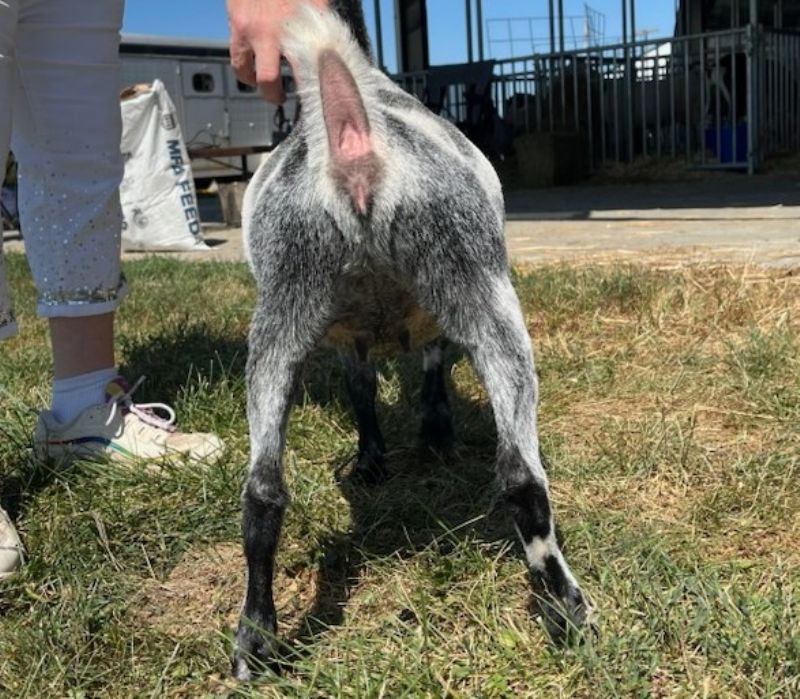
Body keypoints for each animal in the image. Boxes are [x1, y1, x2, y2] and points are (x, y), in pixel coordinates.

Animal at [233, 1, 590, 679]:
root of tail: (352, 145)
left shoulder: (347, 336)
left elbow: (363, 391)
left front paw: (376, 458)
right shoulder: (423, 328)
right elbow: (426, 373)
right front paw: (435, 435)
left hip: (280, 312)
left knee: (263, 493)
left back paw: (254, 639)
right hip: (478, 280)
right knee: (522, 474)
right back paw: (570, 608)